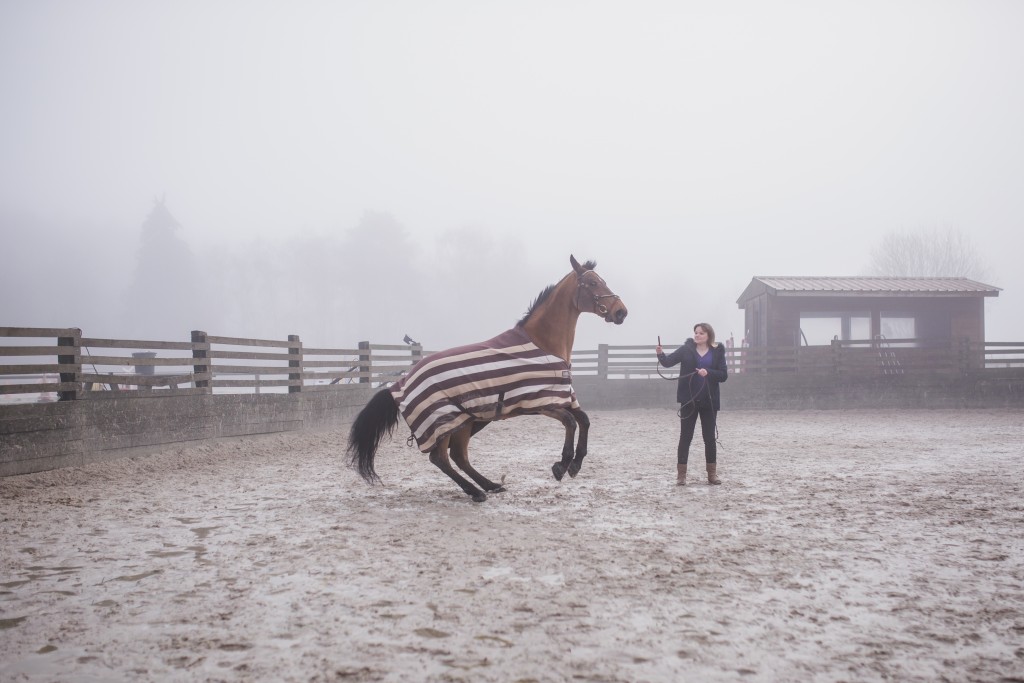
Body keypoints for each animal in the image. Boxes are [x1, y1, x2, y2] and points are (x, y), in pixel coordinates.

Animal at [348, 255, 626, 501]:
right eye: (592, 283)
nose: (621, 312)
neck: (544, 343)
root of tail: (402, 382)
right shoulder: (541, 402)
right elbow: (570, 422)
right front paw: (561, 465)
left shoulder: (563, 398)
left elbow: (584, 420)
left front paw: (575, 465)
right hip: (445, 421)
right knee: (441, 458)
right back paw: (476, 492)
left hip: (467, 421)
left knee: (458, 457)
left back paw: (490, 485)